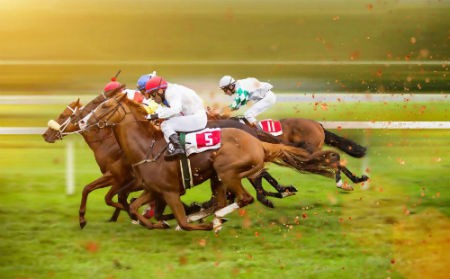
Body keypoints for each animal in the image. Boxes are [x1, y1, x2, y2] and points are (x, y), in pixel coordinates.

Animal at [84, 94, 342, 232]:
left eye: (105, 106)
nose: (85, 121)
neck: (147, 147)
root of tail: (256, 141)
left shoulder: (170, 192)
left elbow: (180, 220)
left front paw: (196, 223)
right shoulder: (153, 190)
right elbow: (135, 208)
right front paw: (158, 223)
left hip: (226, 171)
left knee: (242, 198)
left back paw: (217, 218)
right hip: (218, 177)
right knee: (223, 200)